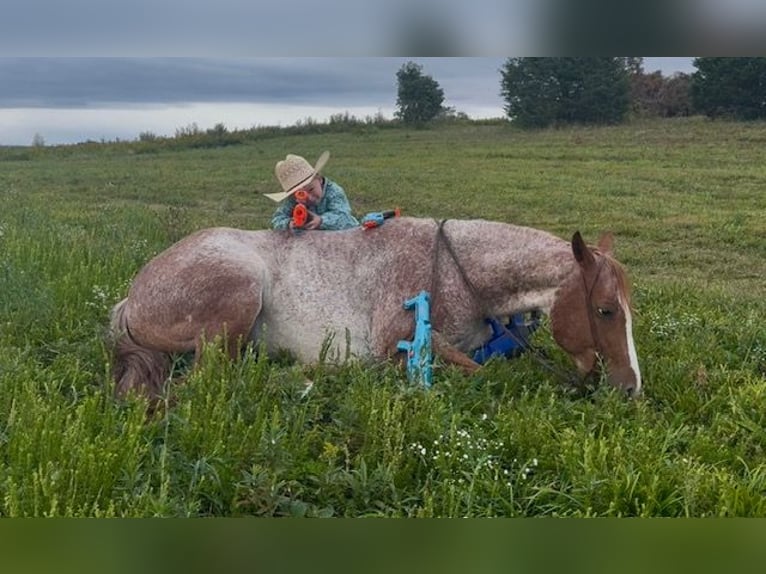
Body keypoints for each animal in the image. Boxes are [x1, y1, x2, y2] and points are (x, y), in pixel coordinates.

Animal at [109, 217, 641, 399]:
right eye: (606, 311)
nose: (631, 387)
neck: (454, 270)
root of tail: (130, 299)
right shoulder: (397, 345)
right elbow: (481, 372)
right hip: (238, 298)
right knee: (209, 381)